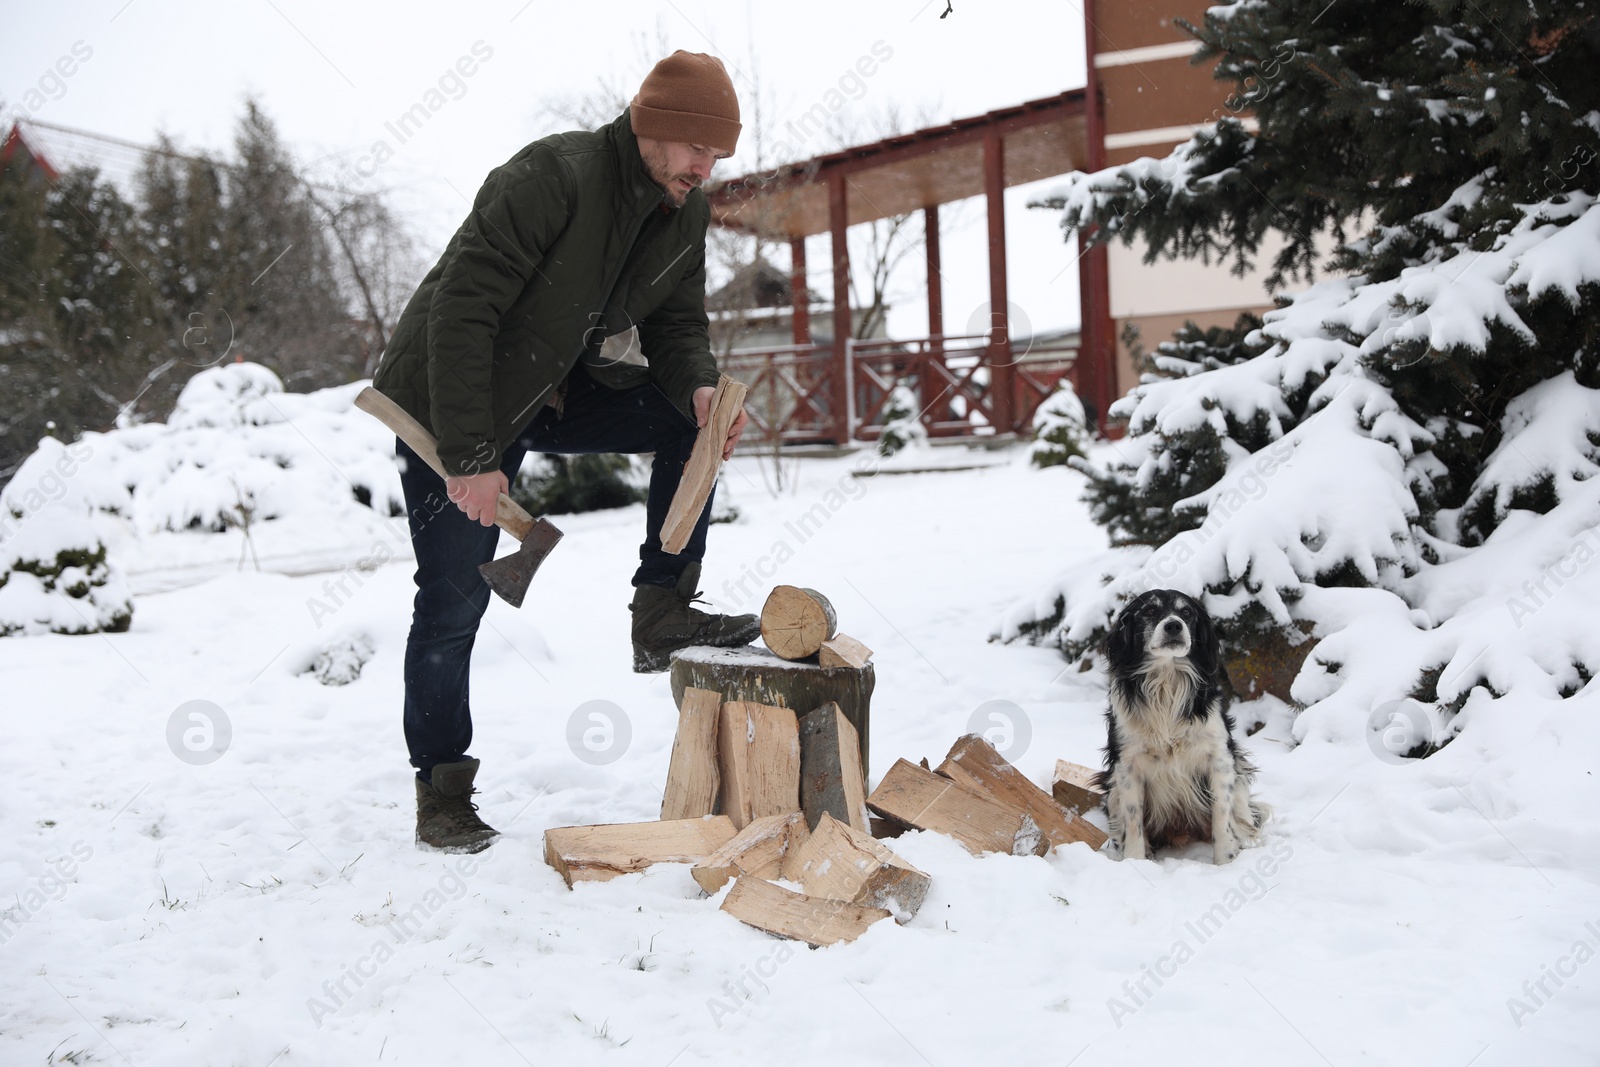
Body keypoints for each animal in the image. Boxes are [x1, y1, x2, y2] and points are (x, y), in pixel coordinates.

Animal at [1094, 588, 1267, 863]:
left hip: (1239, 772)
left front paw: (1225, 861)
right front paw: (1135, 861)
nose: (1174, 625)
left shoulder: (1220, 759)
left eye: (1186, 612)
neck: (1166, 682)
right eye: (1150, 611)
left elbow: (1222, 816)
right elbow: (1133, 821)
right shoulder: (1127, 765)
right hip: (1112, 789)